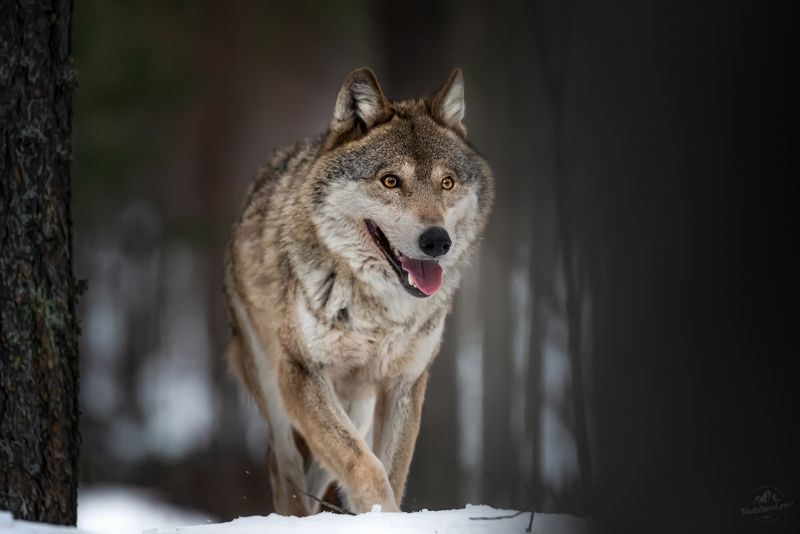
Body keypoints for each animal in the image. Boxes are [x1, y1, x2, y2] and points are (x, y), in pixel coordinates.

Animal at [223, 67, 494, 515]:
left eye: (447, 183)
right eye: (390, 181)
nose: (437, 241)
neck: (380, 313)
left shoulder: (404, 383)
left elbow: (390, 468)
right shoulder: (301, 373)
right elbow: (365, 465)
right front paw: (381, 514)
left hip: (357, 404)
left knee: (320, 472)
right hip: (273, 384)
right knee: (286, 467)